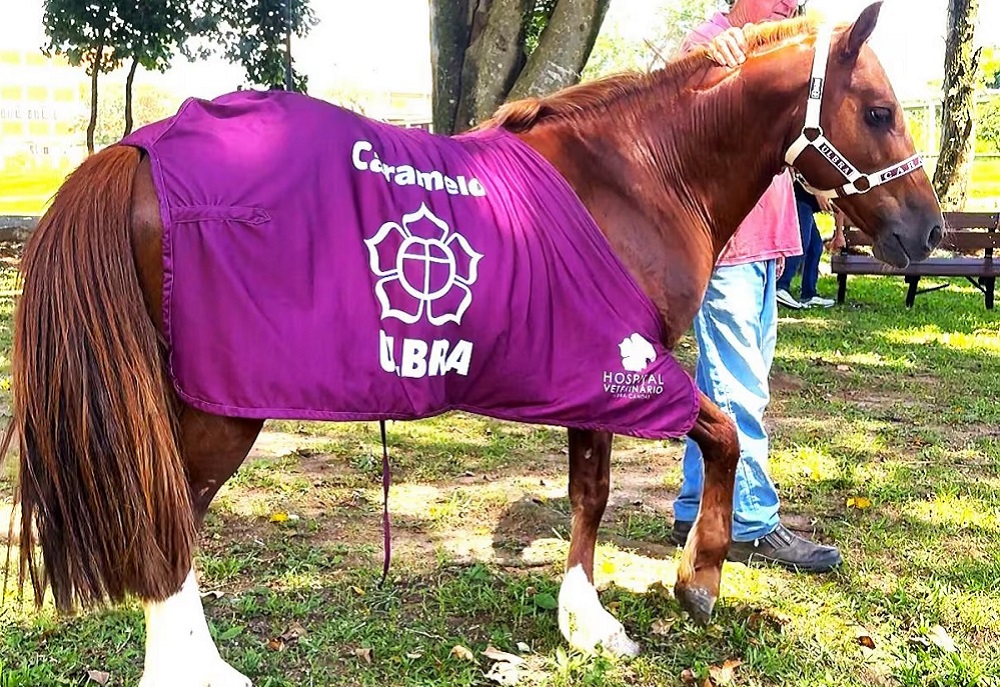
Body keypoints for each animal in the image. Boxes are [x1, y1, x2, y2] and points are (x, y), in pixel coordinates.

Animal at [5, 4, 936, 684]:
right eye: (880, 112)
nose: (925, 231)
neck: (641, 168)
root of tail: (137, 150)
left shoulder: (590, 372)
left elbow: (590, 489)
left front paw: (582, 616)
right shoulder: (623, 365)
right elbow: (722, 435)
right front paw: (694, 581)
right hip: (221, 403)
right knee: (173, 519)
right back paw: (195, 669)